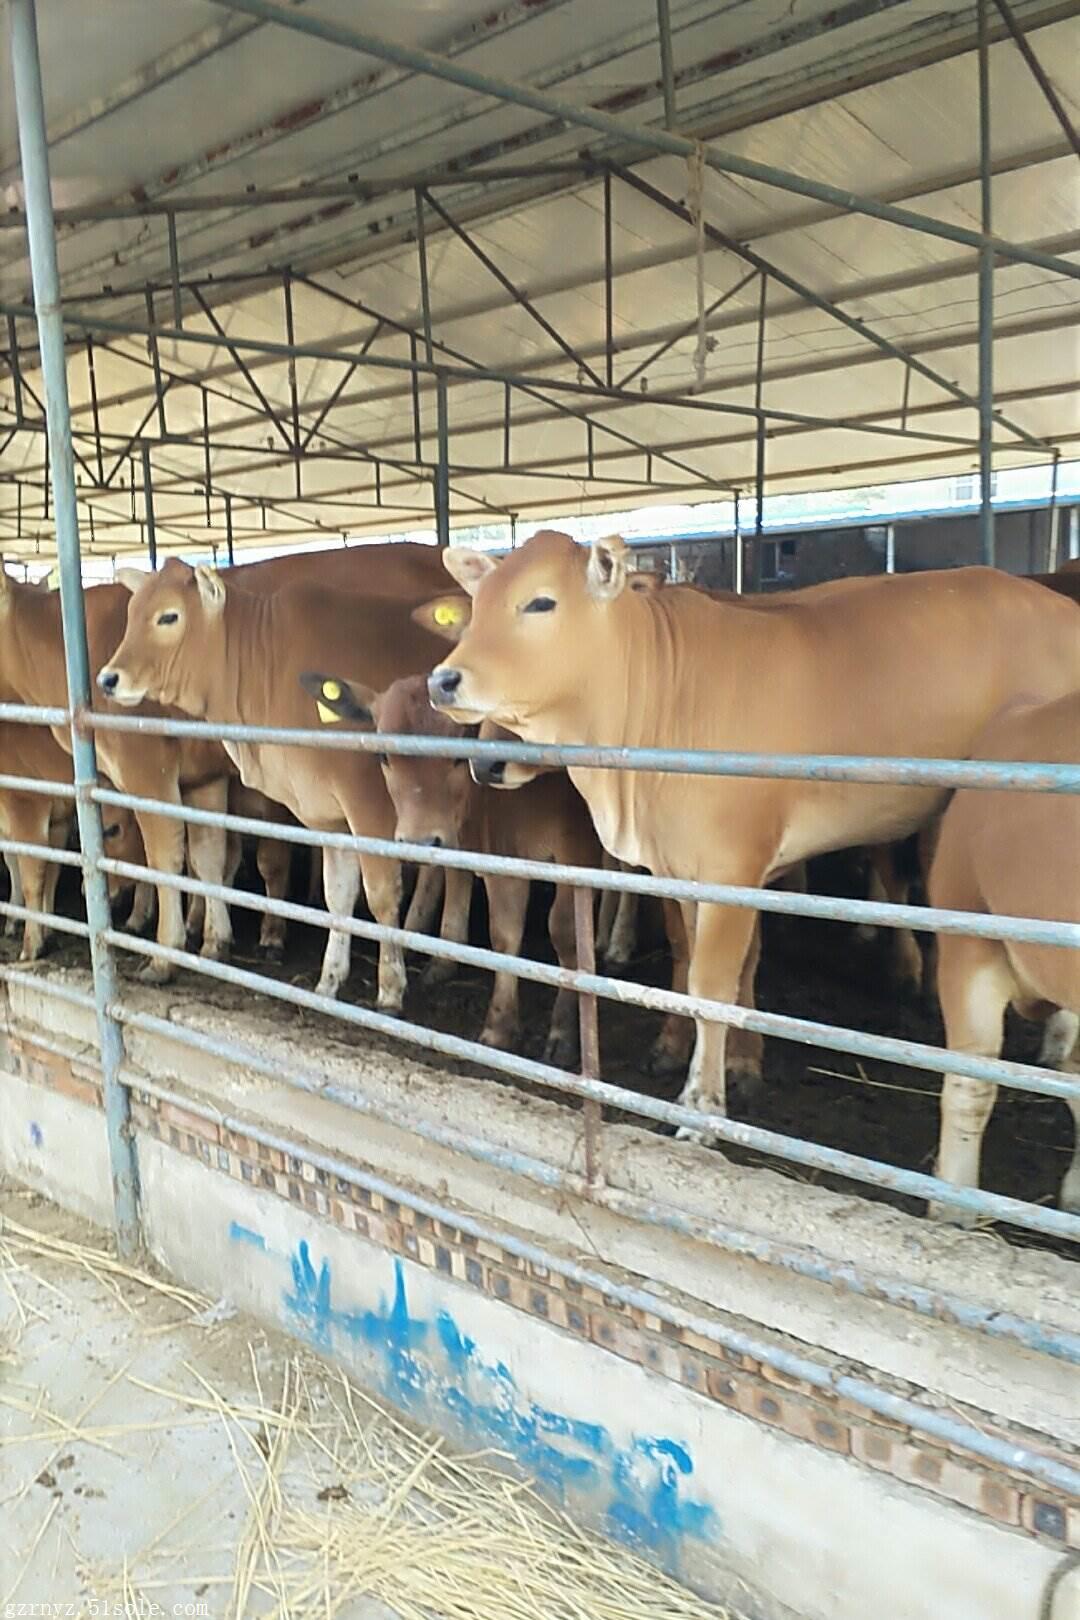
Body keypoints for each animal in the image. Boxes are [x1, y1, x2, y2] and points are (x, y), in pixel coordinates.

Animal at [101, 563, 469, 1004]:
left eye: (168, 616)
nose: (108, 679)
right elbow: (338, 894)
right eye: (131, 613)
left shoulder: (370, 807)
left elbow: (381, 894)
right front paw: (329, 979)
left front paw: (390, 987)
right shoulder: (331, 817)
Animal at [427, 531, 1075, 1140]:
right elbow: (705, 967)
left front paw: (702, 1108)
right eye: (477, 603)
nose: (443, 679)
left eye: (541, 602)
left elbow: (712, 984)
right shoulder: (683, 871)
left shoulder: (731, 867)